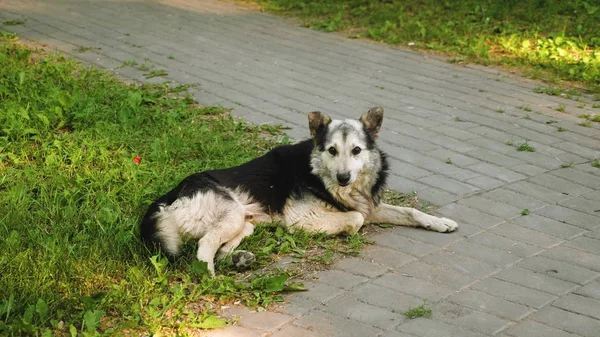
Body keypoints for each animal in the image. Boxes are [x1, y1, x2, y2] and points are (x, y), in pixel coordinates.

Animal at [141, 106, 460, 274]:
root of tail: (164, 199)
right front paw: (346, 230)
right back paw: (210, 278)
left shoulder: (370, 205)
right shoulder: (302, 218)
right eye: (332, 150)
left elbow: (410, 211)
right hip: (231, 213)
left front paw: (439, 222)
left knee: (218, 248)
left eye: (356, 150)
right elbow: (356, 219)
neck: (320, 173)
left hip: (246, 222)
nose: (343, 178)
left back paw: (238, 260)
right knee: (204, 248)